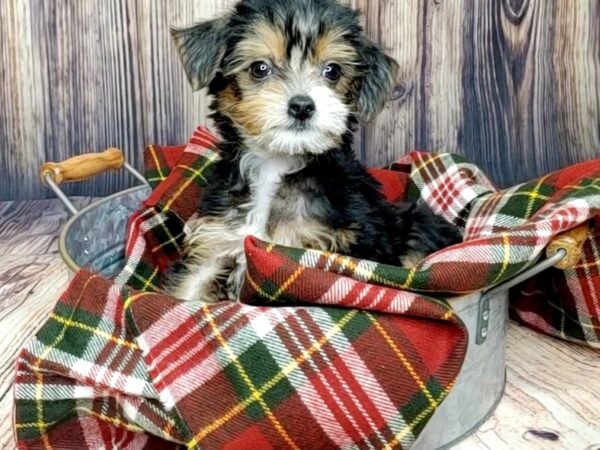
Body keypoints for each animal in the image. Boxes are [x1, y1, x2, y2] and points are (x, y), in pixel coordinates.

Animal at [166, 0, 462, 302]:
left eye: (332, 70)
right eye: (259, 68)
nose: (302, 106)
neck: (277, 163)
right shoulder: (212, 243)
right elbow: (186, 291)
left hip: (413, 225)